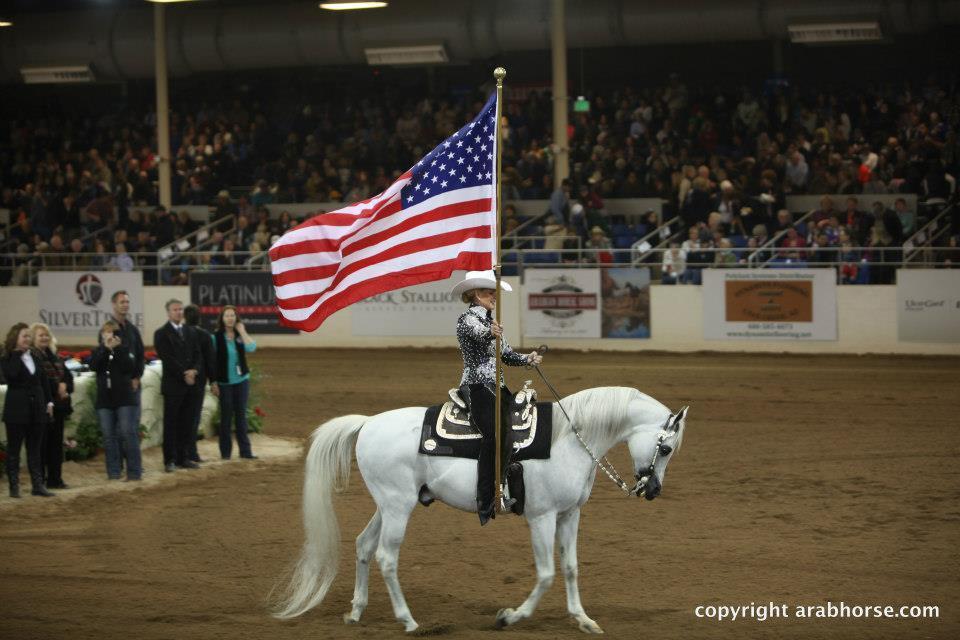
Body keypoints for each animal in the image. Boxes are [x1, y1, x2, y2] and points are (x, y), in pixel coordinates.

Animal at [272, 386, 689, 634]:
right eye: (666, 448)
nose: (652, 490)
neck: (568, 440)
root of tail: (368, 423)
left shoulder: (570, 515)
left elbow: (570, 568)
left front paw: (584, 620)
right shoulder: (541, 517)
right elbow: (547, 573)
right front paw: (511, 616)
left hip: (389, 504)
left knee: (362, 545)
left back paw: (356, 611)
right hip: (397, 506)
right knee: (386, 557)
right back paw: (409, 620)